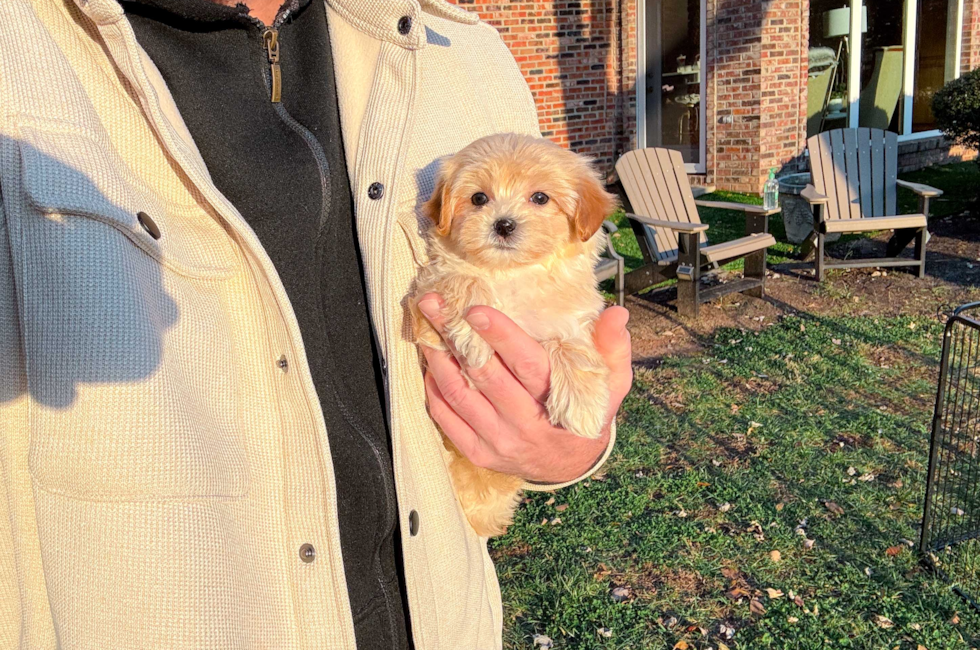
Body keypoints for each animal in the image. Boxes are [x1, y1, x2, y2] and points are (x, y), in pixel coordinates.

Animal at [410, 133, 616, 536]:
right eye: (478, 198)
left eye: (540, 198)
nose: (503, 225)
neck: (512, 274)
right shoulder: (425, 299)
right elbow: (463, 279)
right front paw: (475, 335)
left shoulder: (573, 318)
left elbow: (572, 348)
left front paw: (582, 406)